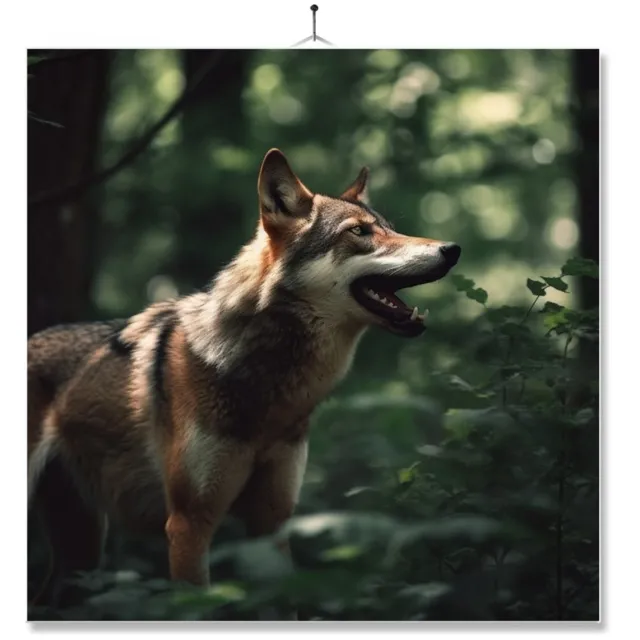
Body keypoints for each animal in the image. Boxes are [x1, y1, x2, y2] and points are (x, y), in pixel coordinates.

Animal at [28, 148, 460, 600]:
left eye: (391, 228)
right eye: (360, 231)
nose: (452, 249)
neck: (269, 386)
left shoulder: (273, 520)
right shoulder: (188, 524)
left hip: (81, 553)